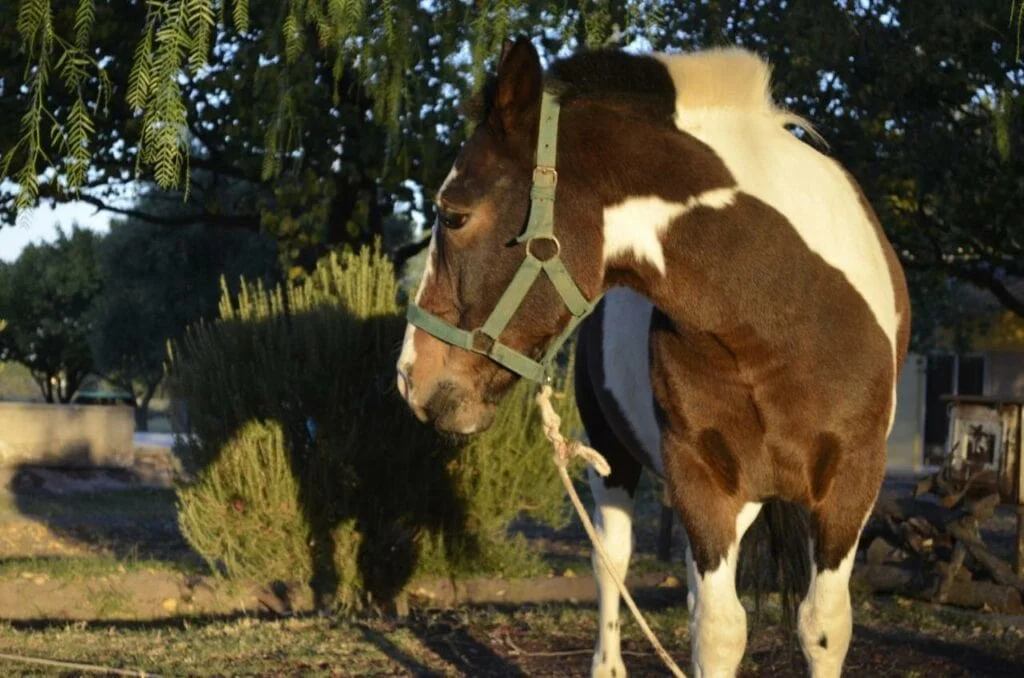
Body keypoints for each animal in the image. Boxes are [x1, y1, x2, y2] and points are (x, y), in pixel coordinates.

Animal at [393, 35, 913, 678]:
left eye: (454, 214)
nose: (411, 378)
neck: (787, 316)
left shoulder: (852, 481)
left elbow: (822, 626)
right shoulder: (701, 478)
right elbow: (718, 631)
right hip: (616, 458)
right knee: (612, 562)